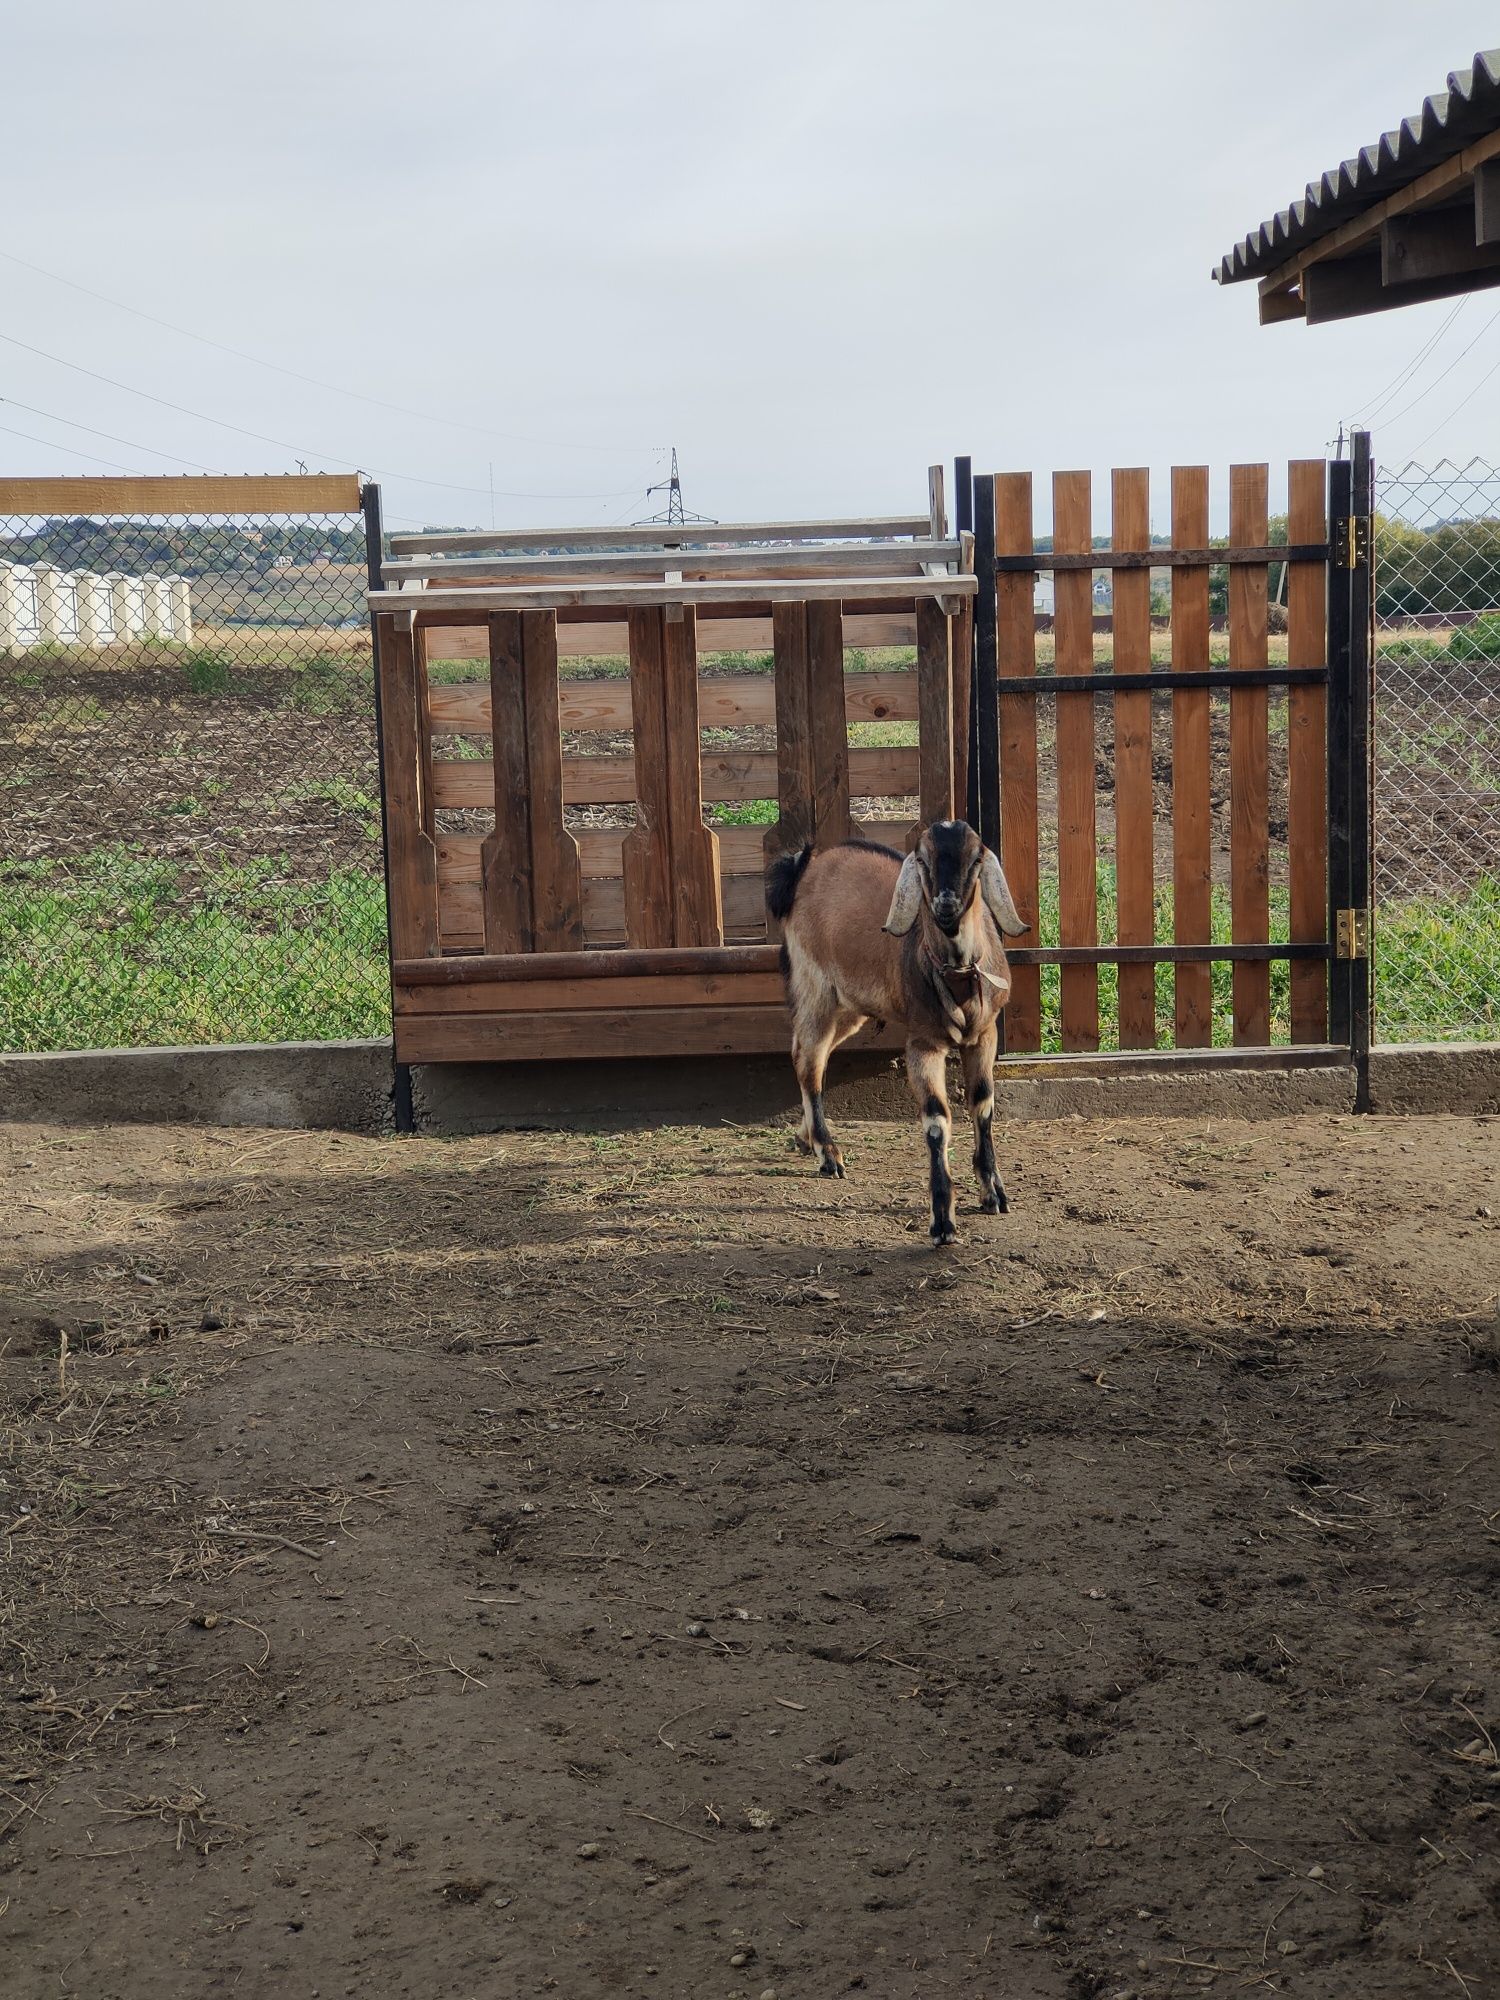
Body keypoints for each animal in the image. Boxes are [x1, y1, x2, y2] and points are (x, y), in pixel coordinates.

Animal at [768, 820, 1032, 1240]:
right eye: (922, 859)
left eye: (976, 858)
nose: (946, 906)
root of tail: (803, 866)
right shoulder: (923, 1041)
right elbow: (937, 1119)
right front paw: (943, 1221)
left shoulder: (985, 1036)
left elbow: (983, 1105)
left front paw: (994, 1194)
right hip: (816, 989)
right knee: (809, 1064)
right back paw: (829, 1153)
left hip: (849, 1007)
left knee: (804, 1053)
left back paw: (805, 1138)